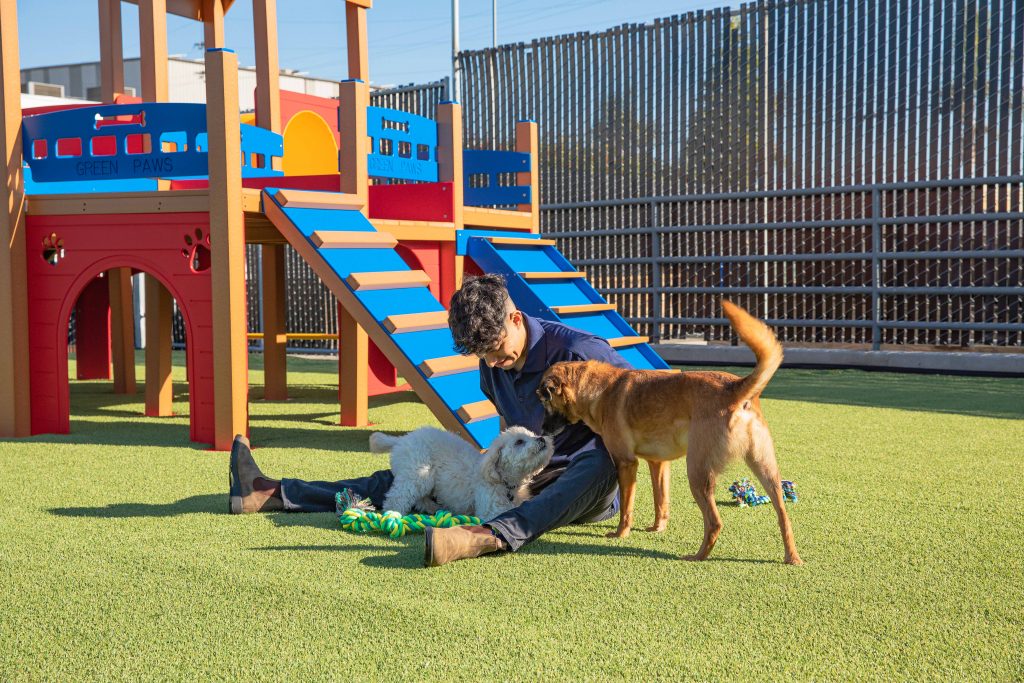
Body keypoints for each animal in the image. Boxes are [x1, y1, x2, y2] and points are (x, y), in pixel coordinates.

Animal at [370, 428, 552, 518]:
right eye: (519, 442)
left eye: (532, 434)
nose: (541, 439)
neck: (504, 482)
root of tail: (402, 440)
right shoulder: (491, 510)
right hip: (418, 474)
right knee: (397, 497)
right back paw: (393, 514)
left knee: (420, 499)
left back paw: (433, 508)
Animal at [536, 301, 798, 565]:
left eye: (544, 400)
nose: (542, 430)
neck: (598, 389)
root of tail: (734, 389)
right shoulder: (658, 464)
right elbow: (660, 502)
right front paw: (656, 528)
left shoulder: (626, 464)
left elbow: (627, 509)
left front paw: (621, 534)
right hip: (765, 468)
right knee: (783, 515)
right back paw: (792, 557)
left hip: (697, 472)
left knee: (715, 522)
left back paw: (698, 556)